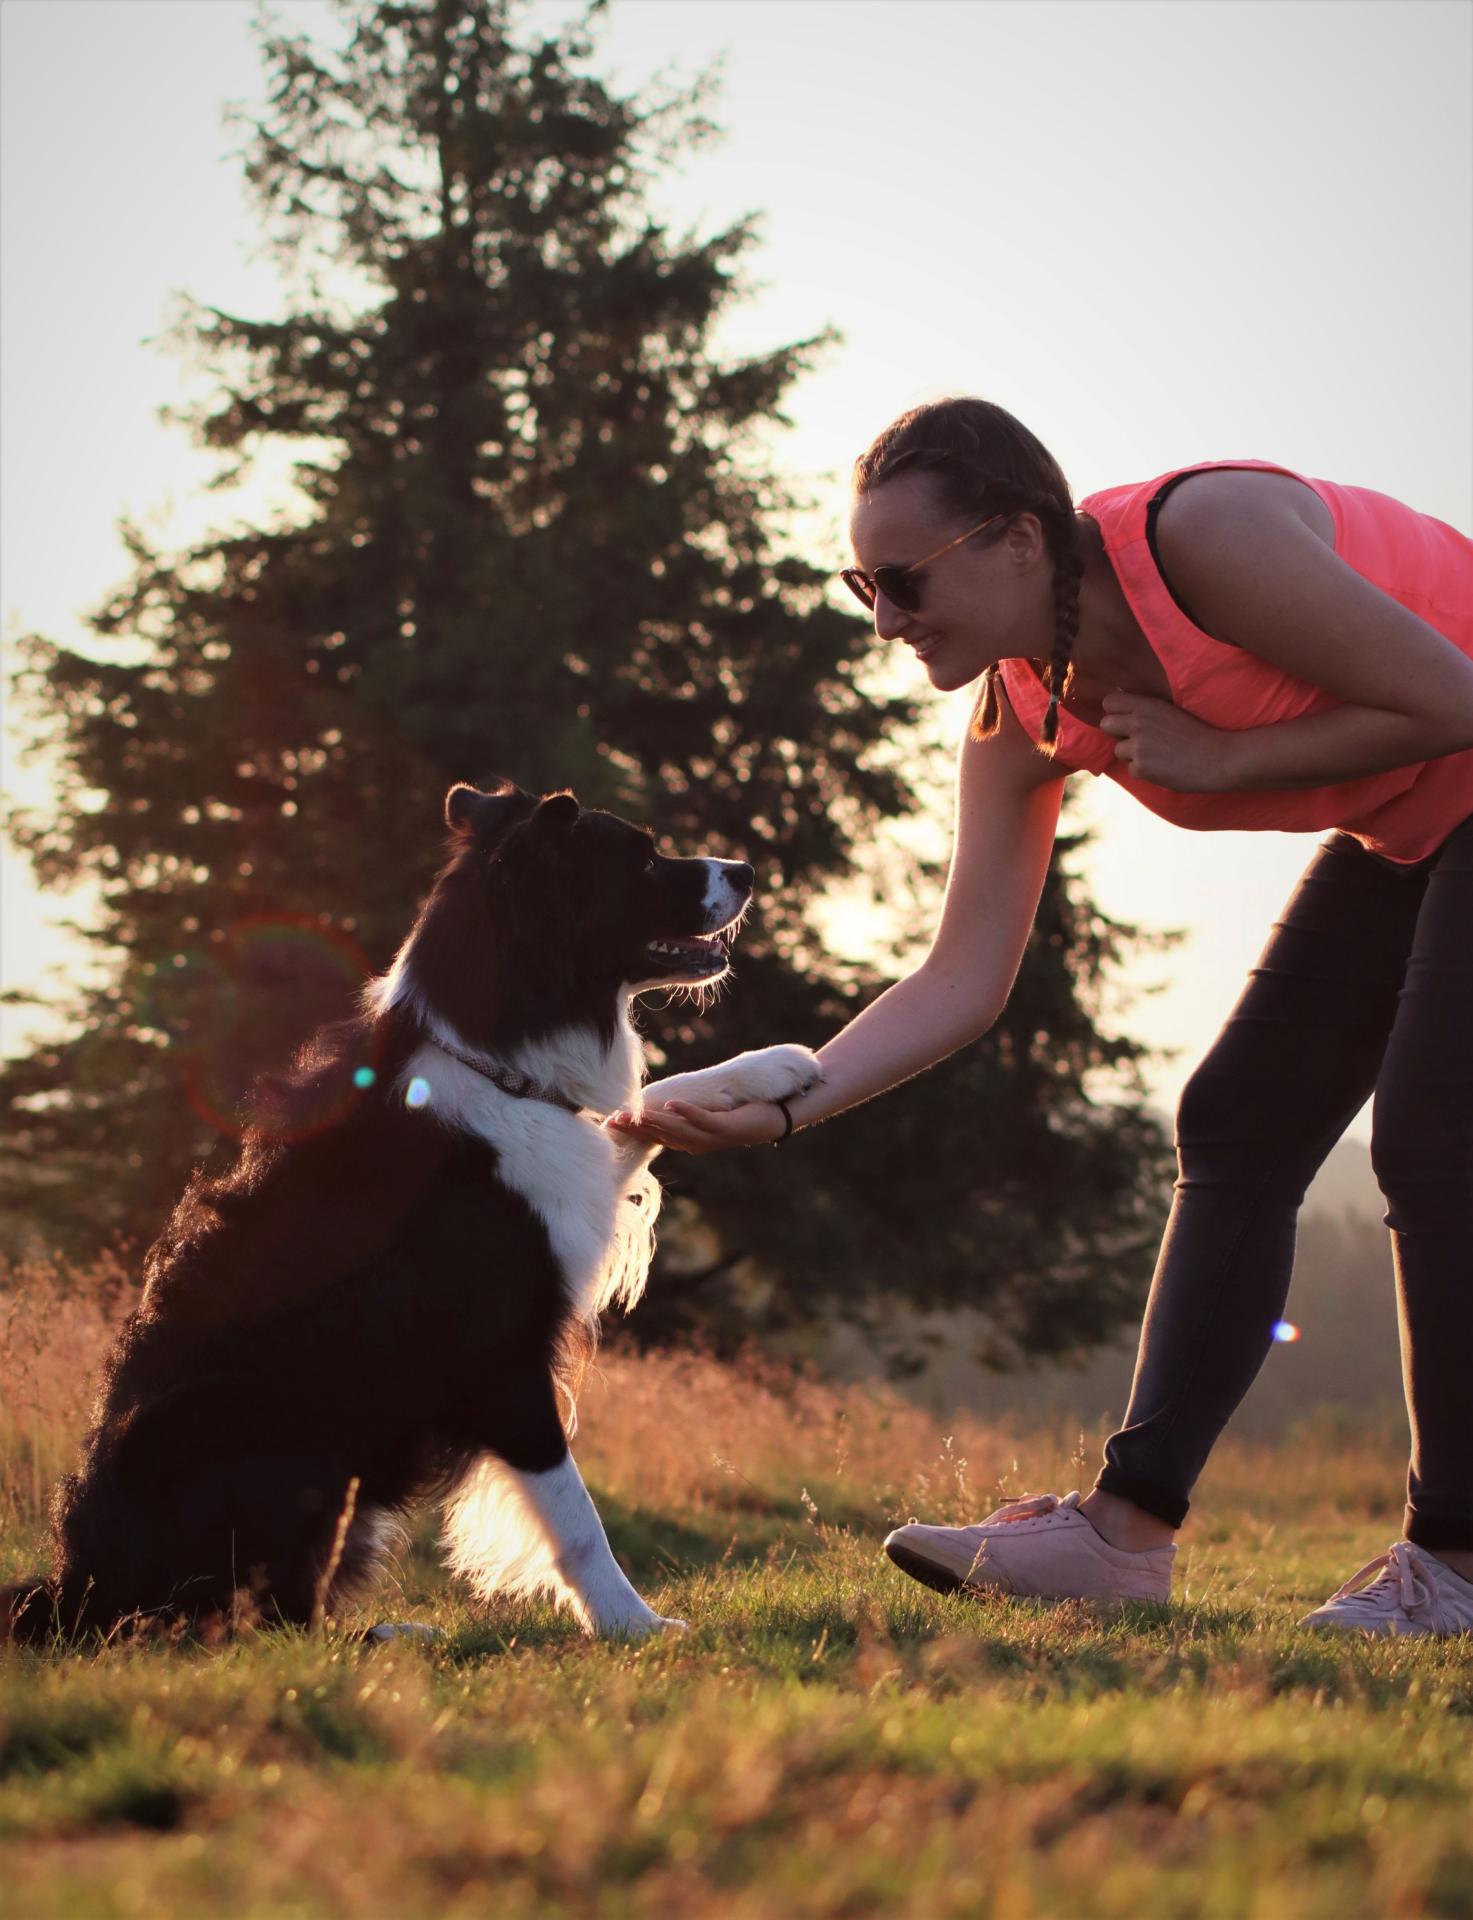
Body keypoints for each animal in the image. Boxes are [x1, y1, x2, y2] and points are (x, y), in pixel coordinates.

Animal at [2, 783, 818, 1651]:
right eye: (644, 859)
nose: (747, 870)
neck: (494, 1054)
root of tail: (77, 1588)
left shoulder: (568, 1166)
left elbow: (645, 1107)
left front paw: (774, 1067)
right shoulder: (501, 1357)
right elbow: (575, 1517)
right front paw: (633, 1623)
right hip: (266, 1435)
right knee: (248, 1621)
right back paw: (394, 1638)